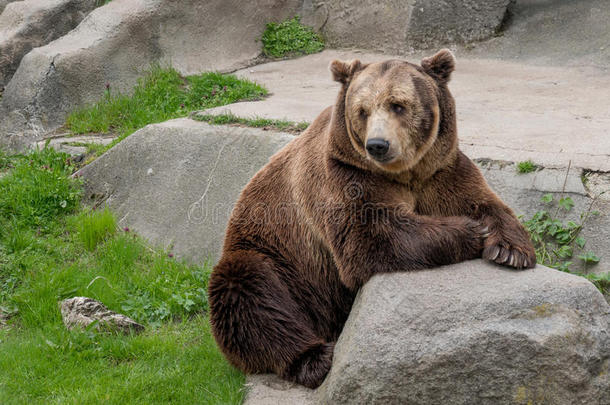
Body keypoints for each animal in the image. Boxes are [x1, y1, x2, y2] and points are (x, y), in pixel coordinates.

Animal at [207, 49, 536, 386]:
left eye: (398, 105)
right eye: (362, 110)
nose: (377, 145)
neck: (404, 174)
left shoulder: (441, 172)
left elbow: (483, 202)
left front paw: (510, 250)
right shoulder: (346, 176)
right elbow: (371, 236)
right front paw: (471, 231)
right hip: (278, 258)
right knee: (251, 295)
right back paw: (314, 358)